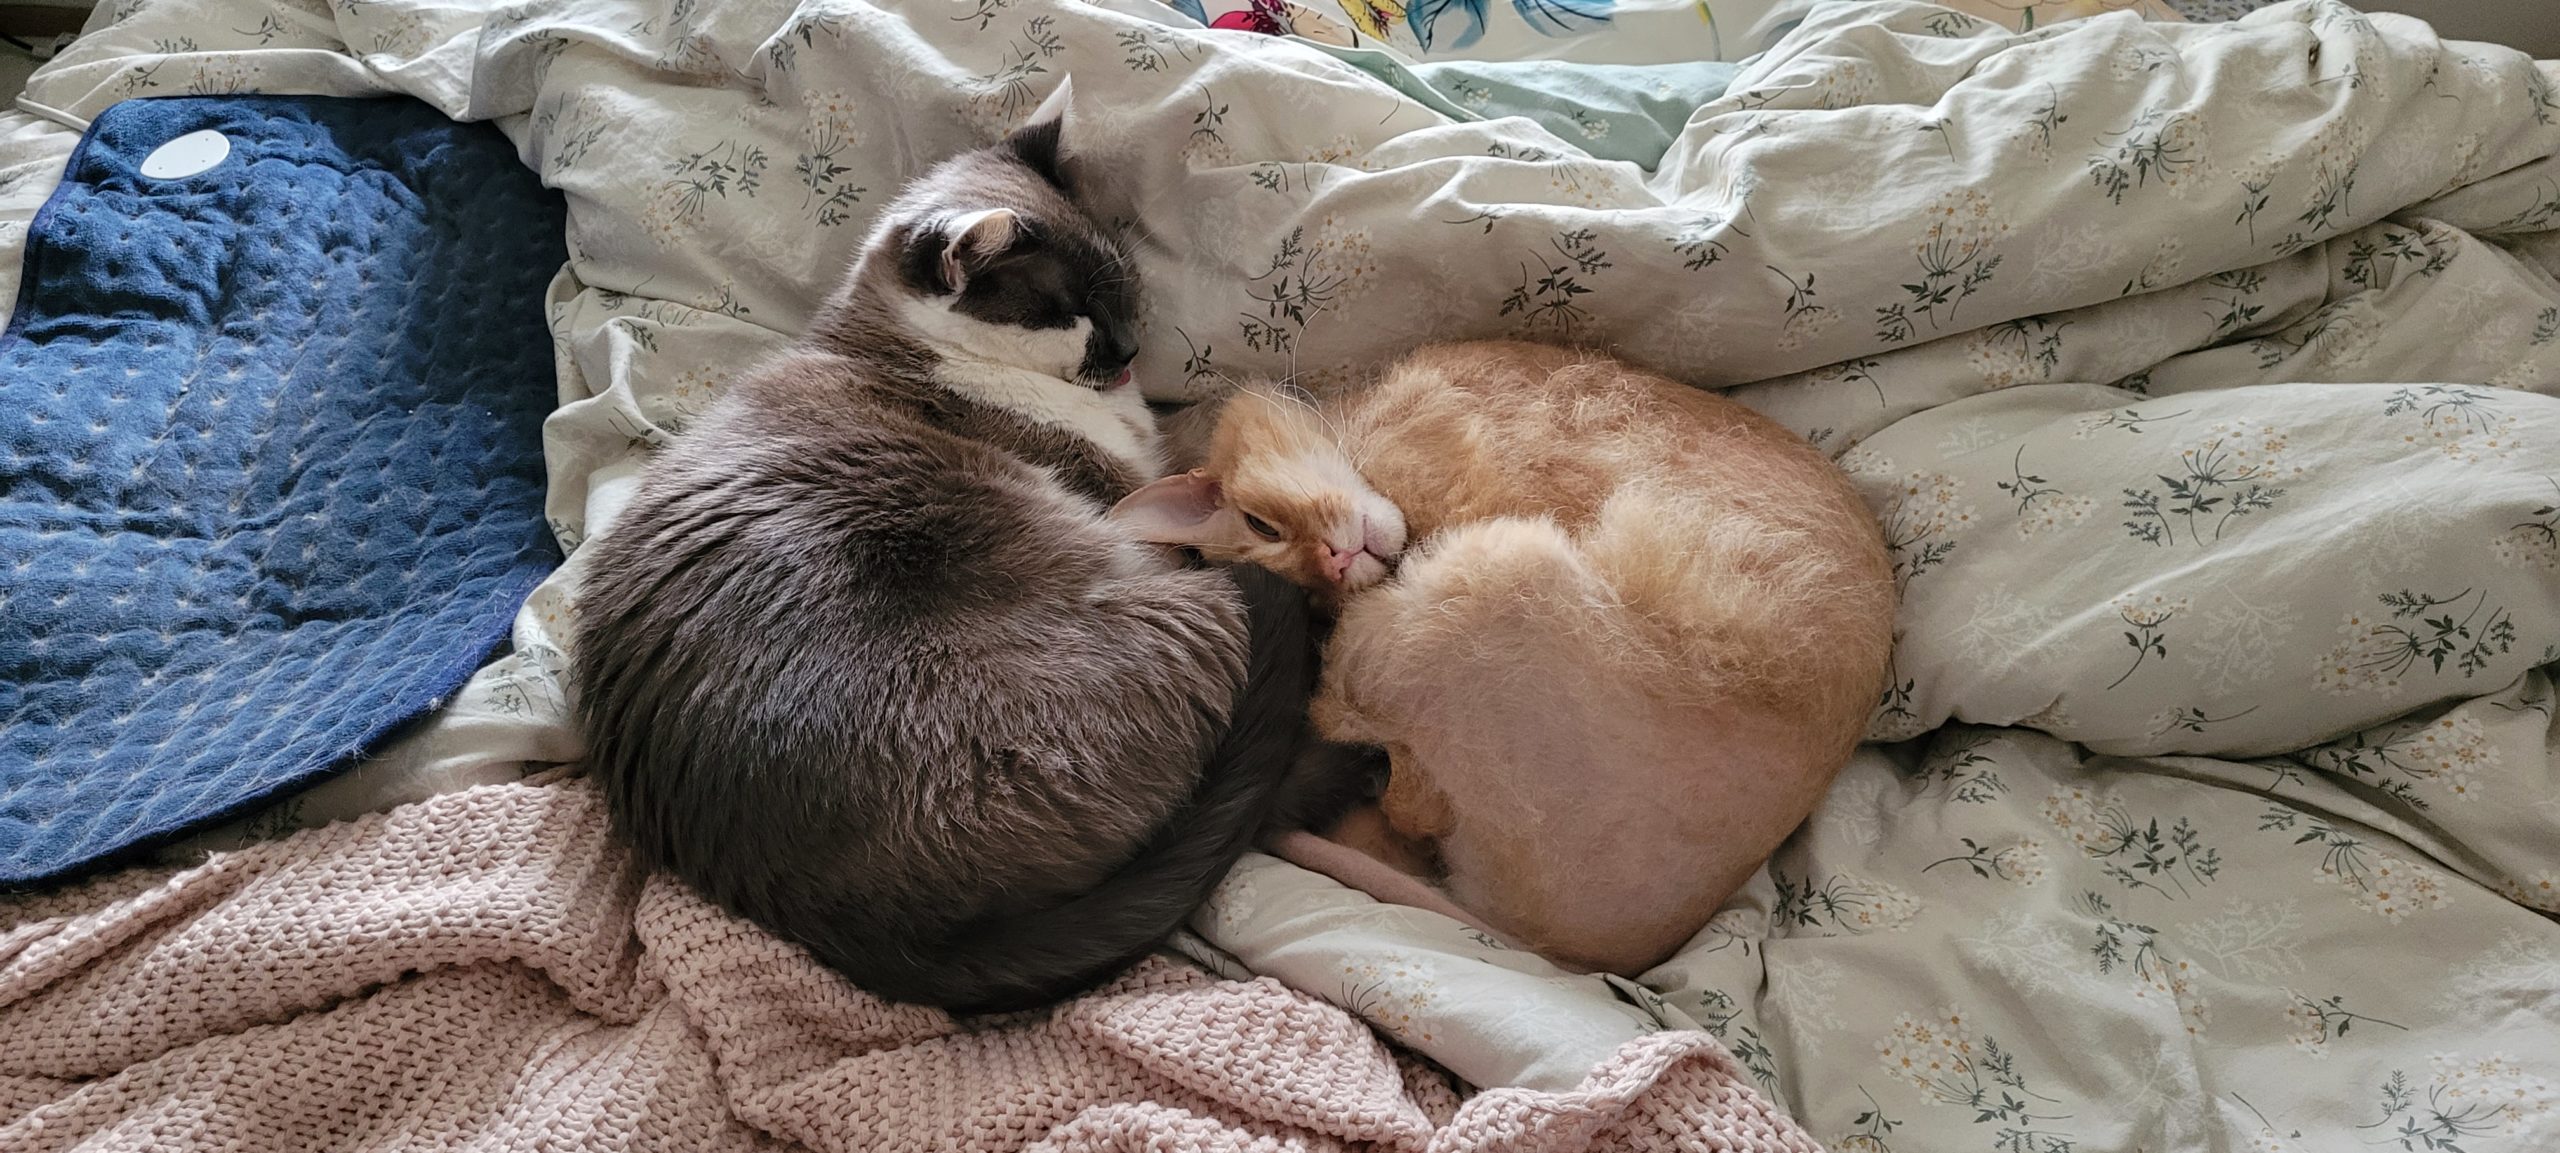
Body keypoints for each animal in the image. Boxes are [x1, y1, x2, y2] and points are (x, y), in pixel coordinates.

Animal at [573, 85, 1331, 1014]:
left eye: (1127, 293)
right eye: (1069, 314)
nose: (1126, 354)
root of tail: (867, 928)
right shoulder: (1128, 494)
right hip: (1182, 605)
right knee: (1267, 774)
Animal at [1111, 340, 1894, 973]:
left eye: (1262, 524)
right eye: (1309, 604)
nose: (1335, 567)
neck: (1359, 425)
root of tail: (1582, 954)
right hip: (1491, 574)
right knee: (1394, 788)